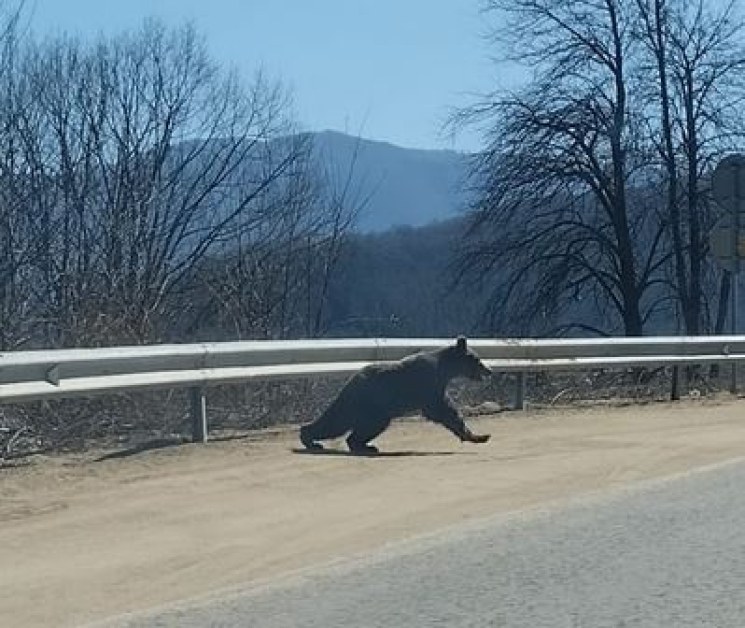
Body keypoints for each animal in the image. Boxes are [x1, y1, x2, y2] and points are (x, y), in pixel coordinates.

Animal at [300, 336, 492, 454]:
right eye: (477, 359)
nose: (489, 370)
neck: (446, 371)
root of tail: (351, 381)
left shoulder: (436, 386)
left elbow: (445, 408)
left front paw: (477, 436)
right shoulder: (429, 384)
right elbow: (442, 410)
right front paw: (478, 436)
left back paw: (363, 446)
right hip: (370, 403)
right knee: (340, 421)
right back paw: (312, 439)